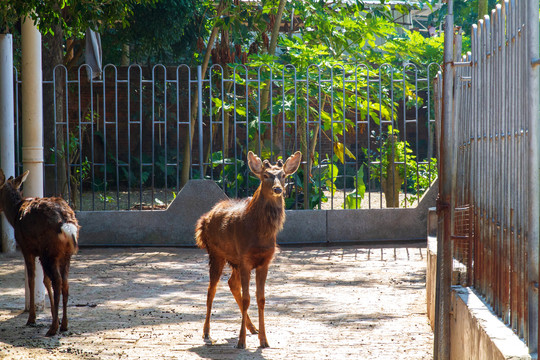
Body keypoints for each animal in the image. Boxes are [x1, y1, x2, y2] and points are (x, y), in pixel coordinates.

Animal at [0, 169, 80, 338]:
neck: (15, 213)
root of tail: (67, 225)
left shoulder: (26, 248)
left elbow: (32, 280)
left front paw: (32, 318)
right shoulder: (38, 253)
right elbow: (45, 281)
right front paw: (53, 315)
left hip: (49, 252)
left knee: (58, 281)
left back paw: (53, 328)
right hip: (65, 254)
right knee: (65, 282)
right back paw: (64, 324)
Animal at [196, 150, 302, 348]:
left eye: (283, 175)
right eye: (266, 175)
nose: (278, 189)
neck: (260, 235)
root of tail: (204, 219)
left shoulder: (264, 262)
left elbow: (261, 298)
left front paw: (264, 340)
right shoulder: (245, 259)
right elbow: (247, 299)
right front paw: (241, 342)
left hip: (234, 261)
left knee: (232, 283)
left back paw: (253, 328)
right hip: (216, 253)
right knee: (211, 289)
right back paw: (206, 333)